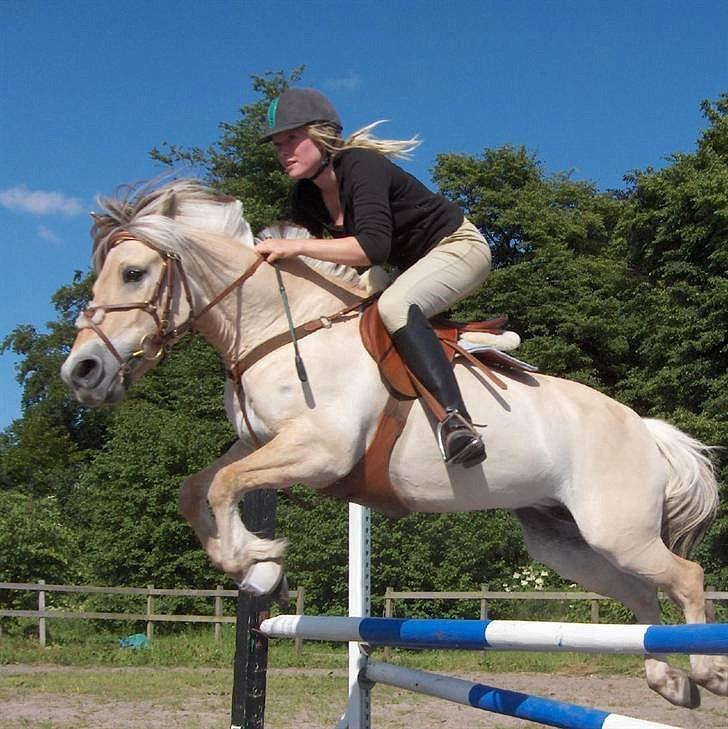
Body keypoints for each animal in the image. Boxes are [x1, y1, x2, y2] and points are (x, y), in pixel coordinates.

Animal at [59, 179, 724, 708]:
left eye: (134, 273)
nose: (82, 371)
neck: (279, 328)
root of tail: (645, 429)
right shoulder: (261, 443)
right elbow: (196, 487)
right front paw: (255, 562)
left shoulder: (320, 451)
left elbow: (223, 486)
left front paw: (258, 560)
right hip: (564, 540)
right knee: (641, 592)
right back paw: (670, 683)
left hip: (617, 529)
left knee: (687, 577)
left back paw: (707, 674)